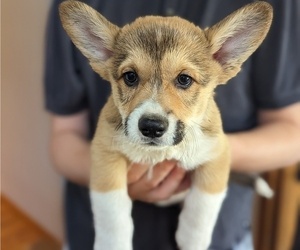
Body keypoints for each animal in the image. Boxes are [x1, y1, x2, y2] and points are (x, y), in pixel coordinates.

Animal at [59, 0, 274, 249]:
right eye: (130, 76)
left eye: (184, 79)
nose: (151, 126)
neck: (160, 153)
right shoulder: (105, 157)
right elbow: (112, 212)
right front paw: (113, 244)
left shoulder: (217, 157)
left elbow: (201, 210)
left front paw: (191, 240)